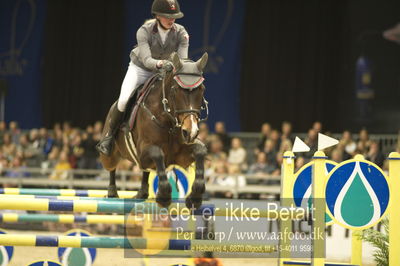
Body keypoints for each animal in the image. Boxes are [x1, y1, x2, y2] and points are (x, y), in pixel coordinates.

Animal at [99, 52, 209, 210]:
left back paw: (142, 193)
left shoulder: (180, 156)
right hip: (109, 154)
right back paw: (112, 192)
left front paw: (194, 198)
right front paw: (163, 196)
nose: (191, 131)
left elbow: (200, 150)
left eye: (202, 89)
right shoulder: (143, 152)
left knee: (146, 172)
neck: (168, 121)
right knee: (111, 167)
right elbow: (157, 153)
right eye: (175, 89)